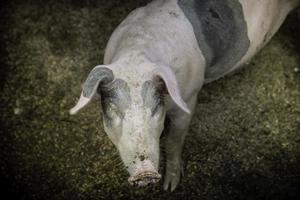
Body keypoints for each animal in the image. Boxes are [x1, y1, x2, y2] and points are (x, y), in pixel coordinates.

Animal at [71, 0, 300, 191]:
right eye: (114, 110)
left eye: (155, 108)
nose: (145, 173)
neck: (136, 55)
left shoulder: (189, 99)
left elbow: (174, 140)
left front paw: (169, 187)